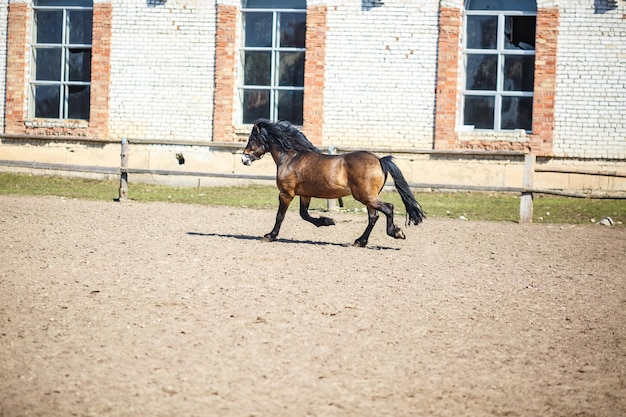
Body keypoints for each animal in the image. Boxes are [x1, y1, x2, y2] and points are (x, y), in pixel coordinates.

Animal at [240, 118, 424, 245]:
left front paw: (270, 236)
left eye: (251, 139)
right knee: (374, 216)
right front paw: (327, 221)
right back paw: (360, 241)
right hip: (368, 198)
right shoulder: (305, 195)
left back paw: (395, 232)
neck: (290, 158)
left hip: (365, 196)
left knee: (388, 208)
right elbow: (304, 215)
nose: (243, 159)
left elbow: (280, 216)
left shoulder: (286, 194)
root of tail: (380, 160)